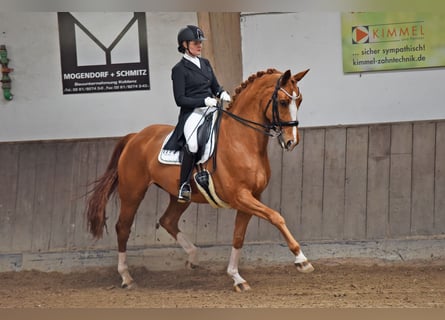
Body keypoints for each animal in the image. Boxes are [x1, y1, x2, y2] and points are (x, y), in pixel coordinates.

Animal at [85, 68, 310, 292]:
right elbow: (276, 217)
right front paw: (301, 259)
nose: (291, 141)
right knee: (123, 228)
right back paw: (126, 277)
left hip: (179, 195)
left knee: (167, 220)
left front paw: (236, 277)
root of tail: (136, 136)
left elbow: (238, 237)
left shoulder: (251, 198)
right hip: (133, 193)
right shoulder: (241, 196)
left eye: (299, 101)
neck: (242, 141)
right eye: (283, 102)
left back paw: (193, 257)